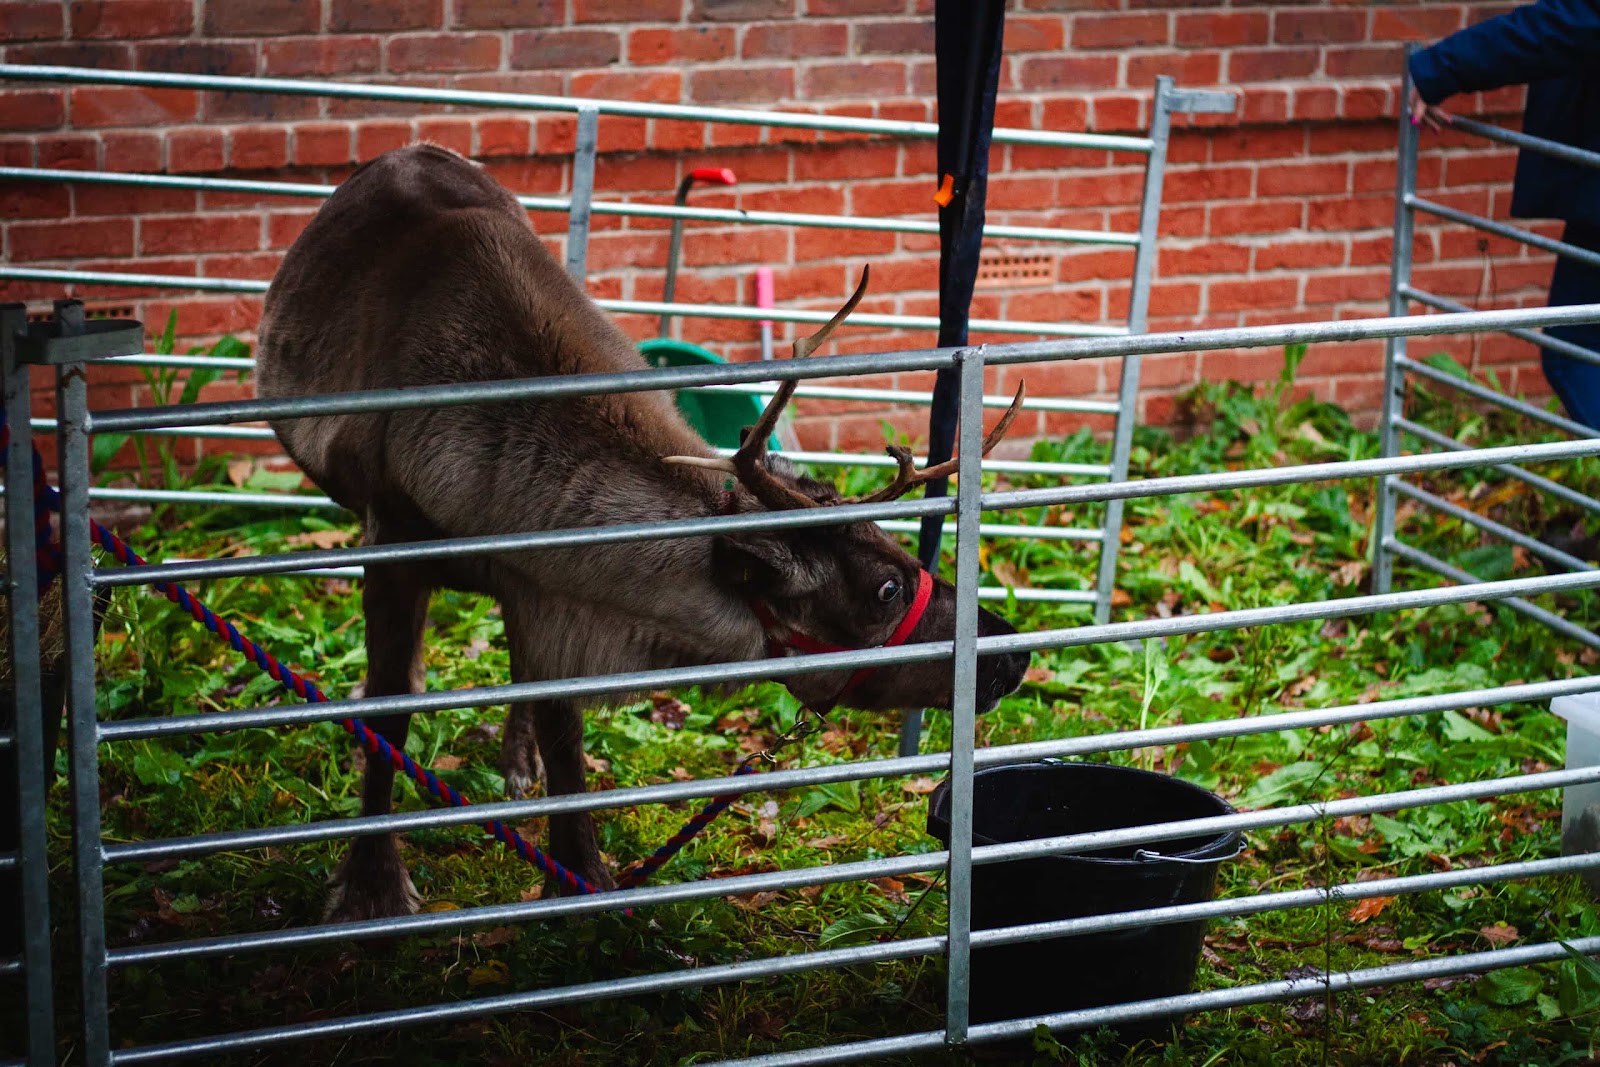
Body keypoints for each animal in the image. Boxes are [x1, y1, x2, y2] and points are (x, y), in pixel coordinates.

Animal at [256, 143, 1030, 921]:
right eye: (887, 588)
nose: (1012, 651)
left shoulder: (545, 587)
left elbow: (561, 725)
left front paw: (579, 873)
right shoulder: (395, 542)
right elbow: (390, 712)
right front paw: (371, 885)